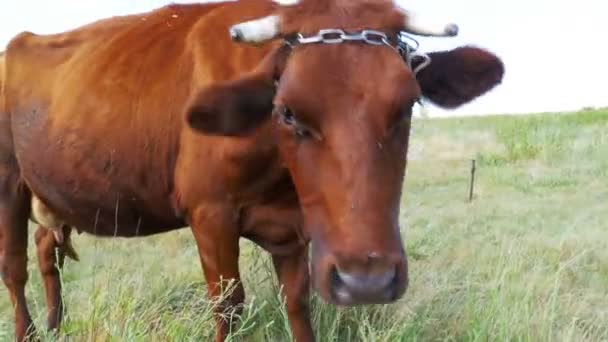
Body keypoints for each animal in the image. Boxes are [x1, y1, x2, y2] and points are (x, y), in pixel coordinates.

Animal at [0, 0, 504, 340]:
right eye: (288, 112)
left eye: (407, 105)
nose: (368, 281)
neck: (280, 182)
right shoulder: (210, 214)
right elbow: (228, 305)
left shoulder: (295, 230)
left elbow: (298, 302)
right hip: (8, 183)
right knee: (15, 269)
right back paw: (28, 332)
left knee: (47, 252)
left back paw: (56, 324)